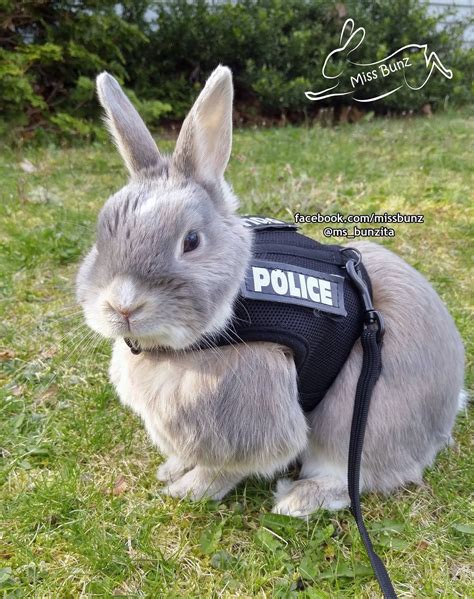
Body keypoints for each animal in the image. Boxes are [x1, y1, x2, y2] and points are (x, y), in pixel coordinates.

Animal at [76, 64, 464, 516]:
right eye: (101, 234)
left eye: (190, 241)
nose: (123, 305)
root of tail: (445, 411)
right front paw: (171, 470)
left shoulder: (248, 416)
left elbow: (229, 466)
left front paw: (187, 491)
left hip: (358, 416)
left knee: (355, 476)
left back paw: (296, 499)